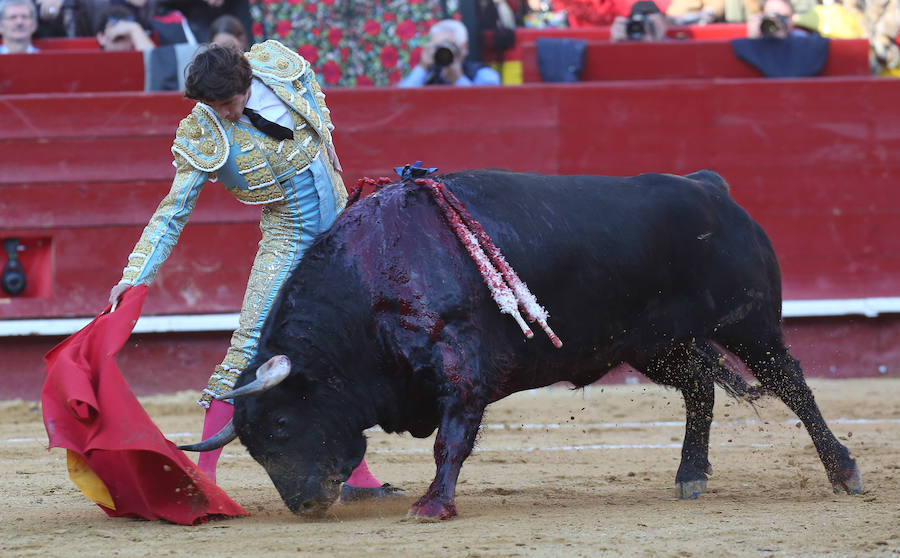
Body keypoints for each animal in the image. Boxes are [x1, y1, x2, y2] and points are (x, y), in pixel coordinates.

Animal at [179, 170, 860, 520]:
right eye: (254, 445)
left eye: (284, 425)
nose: (303, 503)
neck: (374, 274)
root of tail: (712, 188)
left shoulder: (461, 369)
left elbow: (451, 441)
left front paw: (433, 506)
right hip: (653, 345)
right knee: (700, 389)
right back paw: (690, 475)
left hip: (749, 325)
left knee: (792, 385)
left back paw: (843, 471)